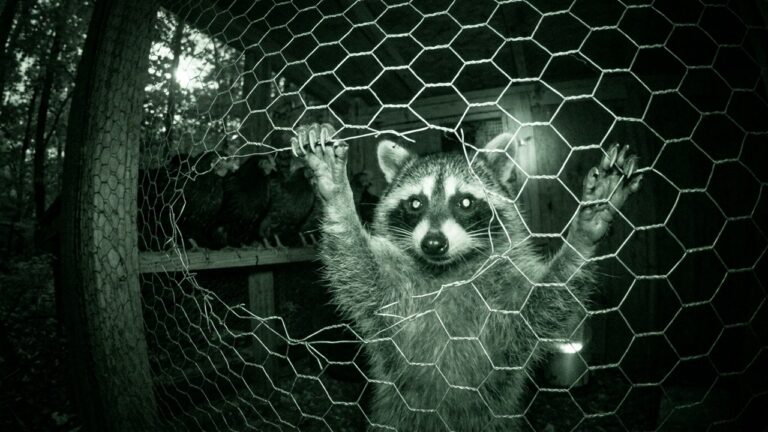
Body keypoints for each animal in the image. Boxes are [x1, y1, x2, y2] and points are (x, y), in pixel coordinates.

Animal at [291, 123, 641, 431]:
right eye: (415, 202)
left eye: (465, 201)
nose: (433, 243)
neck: (448, 270)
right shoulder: (391, 296)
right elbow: (354, 265)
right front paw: (338, 199)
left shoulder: (507, 305)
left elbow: (549, 301)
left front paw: (582, 237)